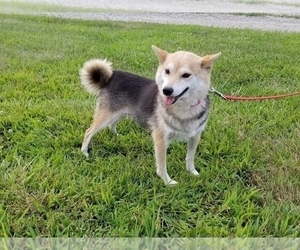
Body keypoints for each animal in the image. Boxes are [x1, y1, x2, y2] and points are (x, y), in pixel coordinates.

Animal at [79, 46, 220, 185]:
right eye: (167, 71)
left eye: (186, 75)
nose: (166, 90)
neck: (184, 108)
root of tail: (112, 75)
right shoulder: (160, 139)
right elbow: (162, 166)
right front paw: (167, 182)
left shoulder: (195, 135)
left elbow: (190, 157)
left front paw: (192, 172)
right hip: (106, 115)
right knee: (89, 131)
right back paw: (84, 152)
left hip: (121, 112)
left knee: (112, 124)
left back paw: (116, 135)